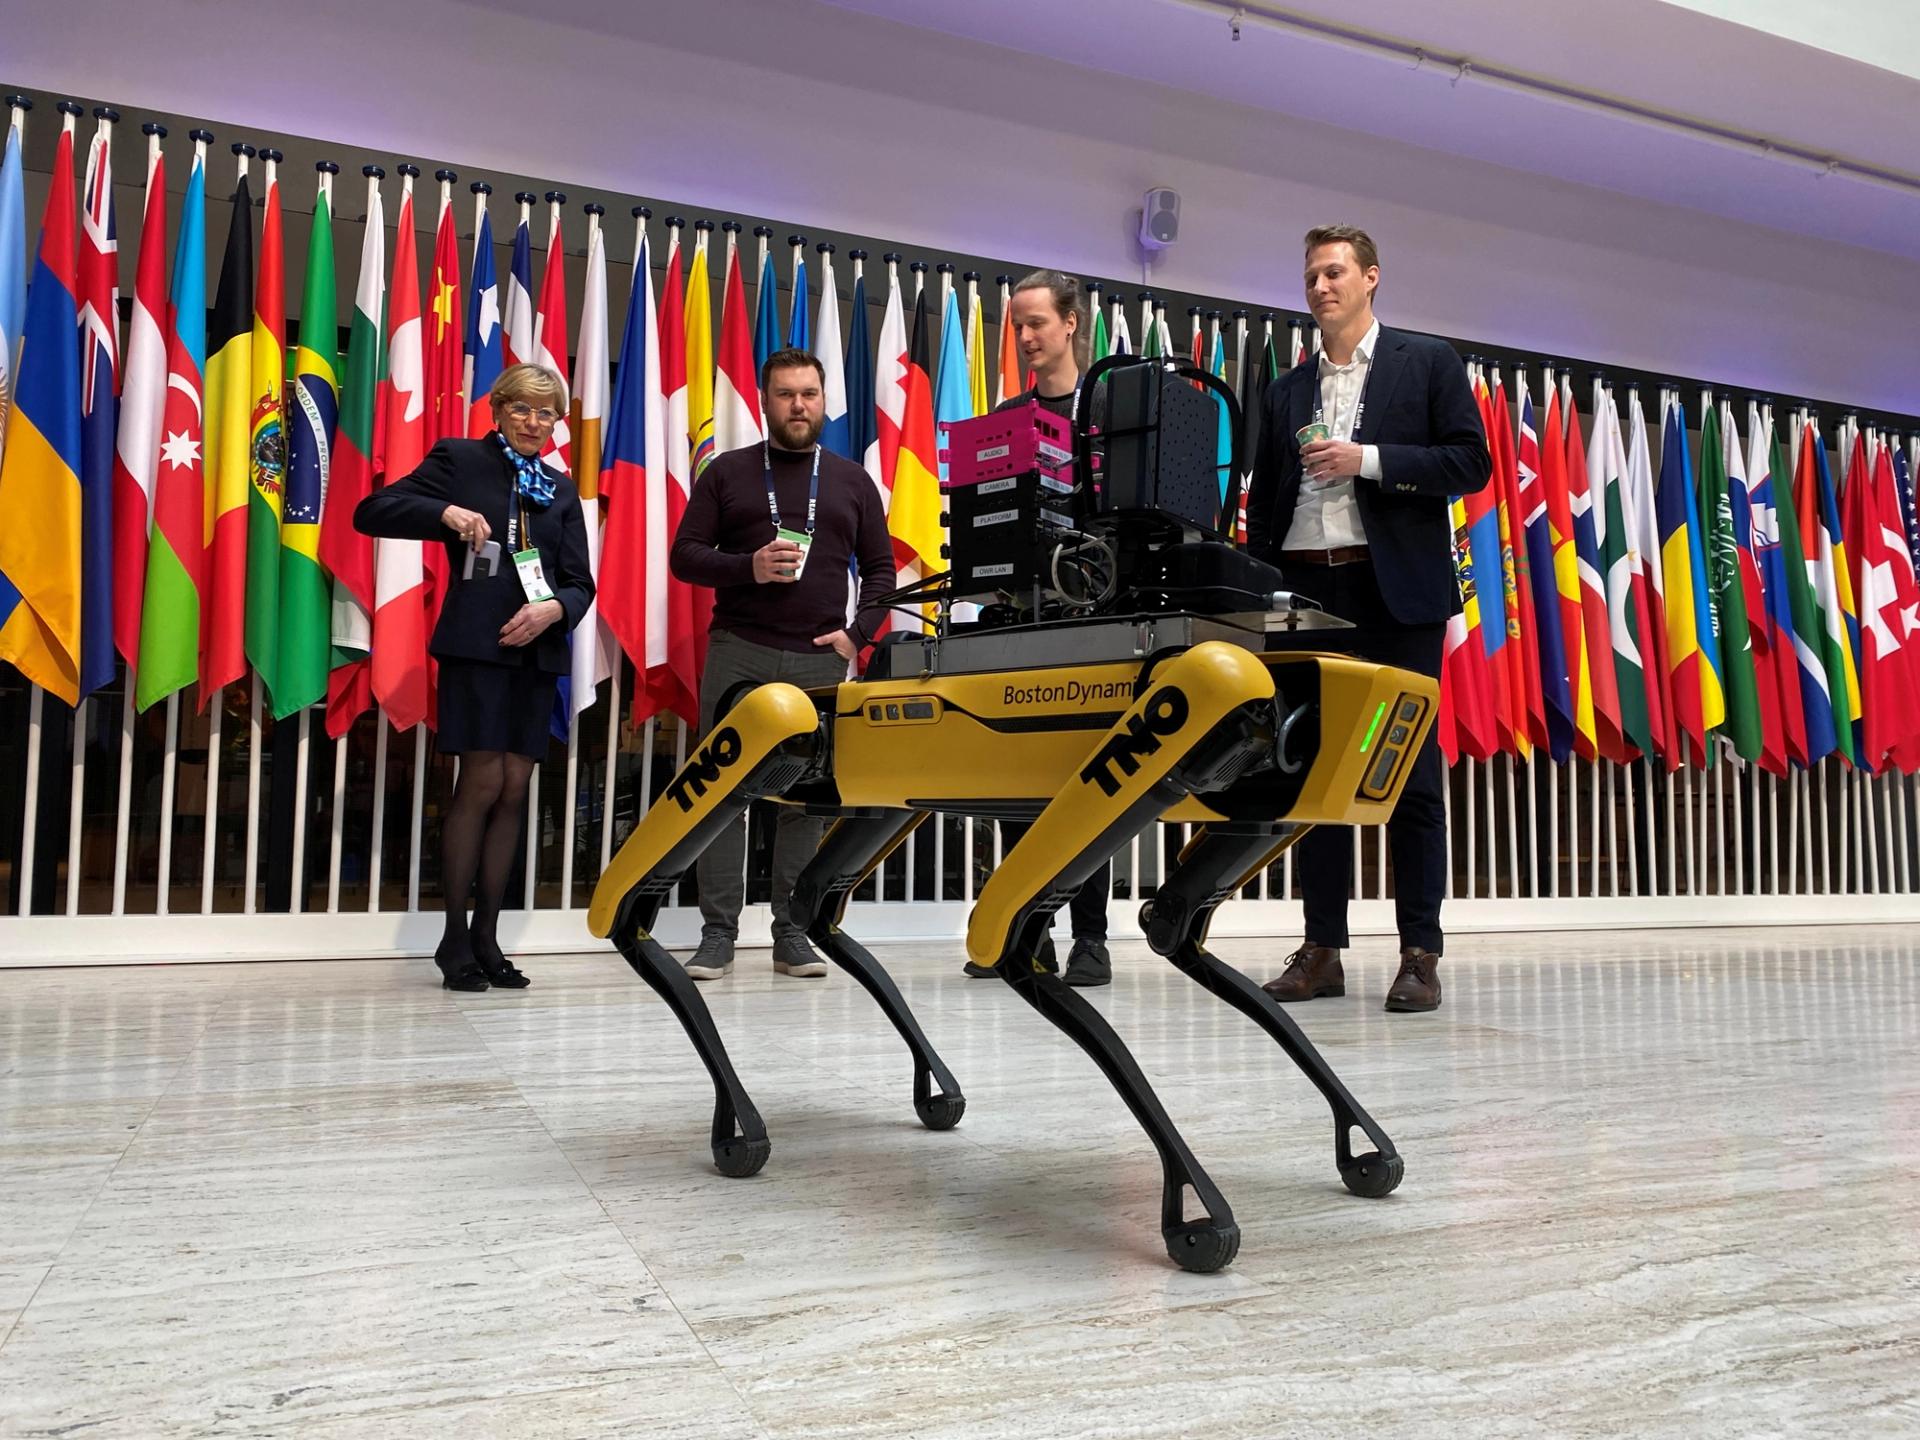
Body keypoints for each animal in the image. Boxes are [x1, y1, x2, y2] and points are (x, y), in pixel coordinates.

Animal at [583, 359, 1443, 1274]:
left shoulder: (1237, 772)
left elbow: (1142, 926)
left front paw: (1357, 1147)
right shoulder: (1200, 701)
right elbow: (1010, 933)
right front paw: (1196, 1213)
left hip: (873, 790)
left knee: (812, 903)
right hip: (783, 731)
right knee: (640, 898)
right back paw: (742, 1105)